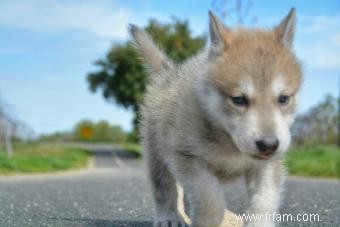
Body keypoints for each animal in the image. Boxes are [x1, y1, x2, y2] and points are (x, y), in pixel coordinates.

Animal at [129, 7, 302, 226]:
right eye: (238, 99)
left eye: (283, 99)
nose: (269, 145)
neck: (229, 142)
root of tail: (169, 74)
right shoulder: (187, 157)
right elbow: (210, 198)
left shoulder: (267, 167)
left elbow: (264, 201)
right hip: (156, 154)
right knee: (164, 188)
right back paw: (168, 217)